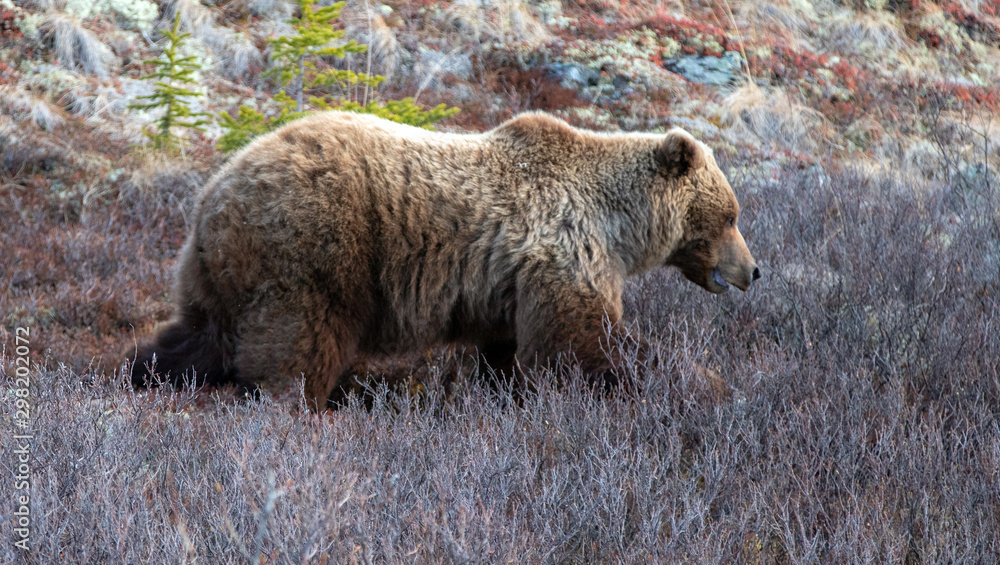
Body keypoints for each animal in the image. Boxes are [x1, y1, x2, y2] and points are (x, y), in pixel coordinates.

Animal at [131, 111, 759, 409]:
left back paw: (142, 372)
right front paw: (702, 383)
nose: (753, 270)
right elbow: (583, 342)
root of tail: (215, 192)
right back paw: (297, 407)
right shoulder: (565, 251)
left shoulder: (512, 284)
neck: (619, 225)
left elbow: (511, 350)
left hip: (220, 271)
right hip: (315, 246)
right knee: (297, 341)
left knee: (200, 335)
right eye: (729, 215)